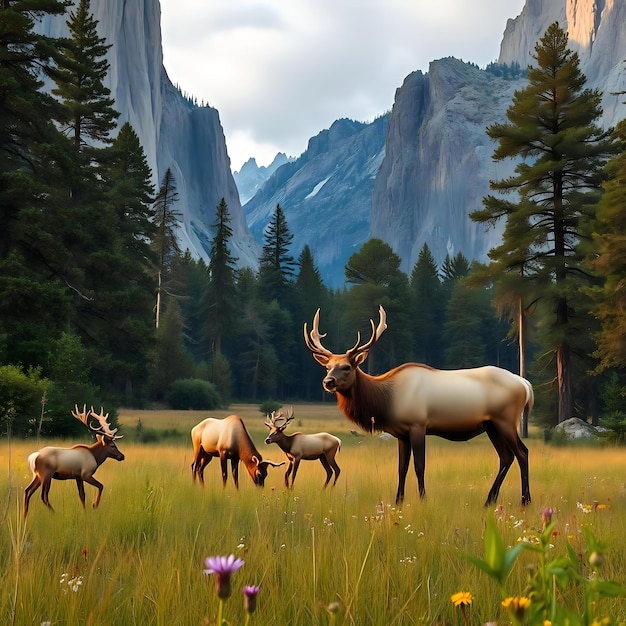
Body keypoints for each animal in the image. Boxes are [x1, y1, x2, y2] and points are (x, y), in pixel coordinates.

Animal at [302, 304, 532, 504]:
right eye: (328, 367)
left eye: (347, 367)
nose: (328, 382)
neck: (387, 402)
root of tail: (525, 384)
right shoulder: (401, 433)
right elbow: (401, 468)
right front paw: (398, 500)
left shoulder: (418, 425)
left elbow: (419, 466)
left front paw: (423, 499)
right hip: (491, 425)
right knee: (506, 457)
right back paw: (489, 500)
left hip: (505, 420)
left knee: (521, 453)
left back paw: (525, 500)